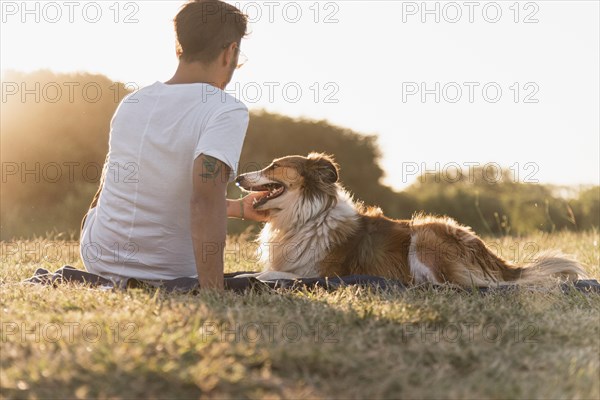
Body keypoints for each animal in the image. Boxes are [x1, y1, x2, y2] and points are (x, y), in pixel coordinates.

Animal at [234, 153, 584, 288]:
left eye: (275, 166)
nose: (237, 177)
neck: (307, 216)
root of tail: (493, 258)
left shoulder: (322, 273)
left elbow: (270, 273)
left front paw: (253, 277)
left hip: (426, 233)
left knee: (453, 284)